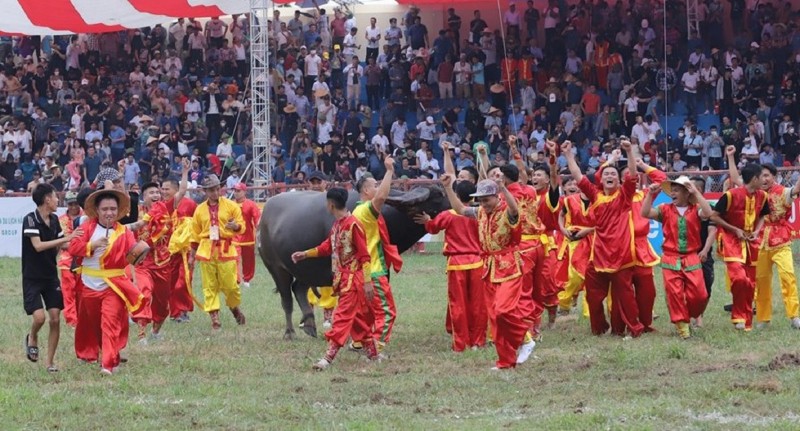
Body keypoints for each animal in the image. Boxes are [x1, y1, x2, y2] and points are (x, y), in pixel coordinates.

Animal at [260, 186, 450, 340]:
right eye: (437, 196)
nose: (454, 205)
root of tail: (264, 217)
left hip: (305, 269)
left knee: (298, 288)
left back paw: (309, 325)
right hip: (275, 267)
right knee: (286, 299)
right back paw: (289, 333)